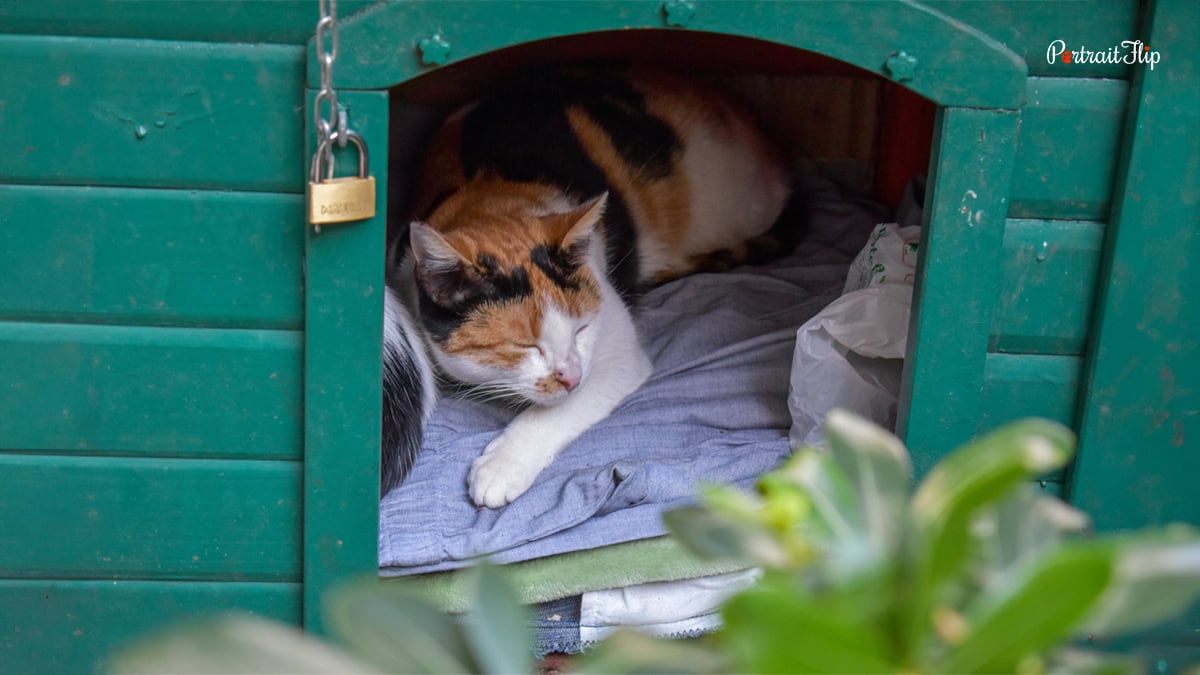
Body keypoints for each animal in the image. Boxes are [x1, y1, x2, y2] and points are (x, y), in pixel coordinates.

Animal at [384, 68, 796, 506]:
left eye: (581, 329)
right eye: (525, 345)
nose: (571, 376)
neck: (494, 198)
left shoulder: (617, 352)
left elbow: (558, 409)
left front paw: (501, 467)